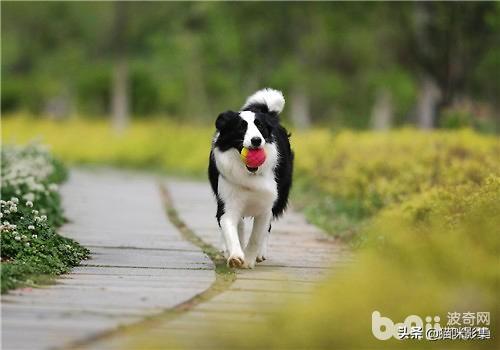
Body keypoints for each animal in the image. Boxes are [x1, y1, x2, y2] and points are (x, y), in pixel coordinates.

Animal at [208, 89, 292, 270]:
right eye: (241, 127)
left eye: (260, 126)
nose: (256, 140)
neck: (249, 174)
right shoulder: (228, 202)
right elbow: (229, 227)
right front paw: (235, 256)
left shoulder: (267, 205)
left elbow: (257, 235)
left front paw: (248, 260)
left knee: (267, 228)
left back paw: (260, 254)